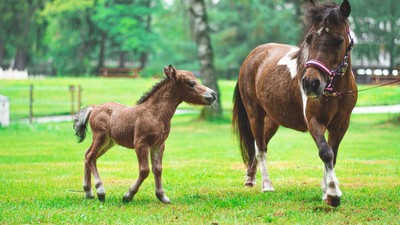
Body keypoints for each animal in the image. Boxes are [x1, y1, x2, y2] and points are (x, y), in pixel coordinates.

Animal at [72, 65, 216, 204]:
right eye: (191, 83)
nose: (213, 94)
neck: (156, 114)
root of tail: (94, 107)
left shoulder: (159, 145)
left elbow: (157, 169)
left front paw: (162, 196)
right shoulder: (141, 143)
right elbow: (145, 170)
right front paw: (128, 195)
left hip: (109, 142)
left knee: (88, 155)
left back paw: (88, 192)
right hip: (100, 137)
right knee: (90, 156)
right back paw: (100, 191)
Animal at [231, 0, 356, 207]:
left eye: (338, 40)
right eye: (309, 39)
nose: (310, 83)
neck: (335, 92)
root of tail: (253, 56)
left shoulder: (341, 125)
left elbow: (333, 154)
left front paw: (325, 192)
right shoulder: (314, 122)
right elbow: (326, 152)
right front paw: (332, 193)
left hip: (272, 120)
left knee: (260, 144)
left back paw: (250, 177)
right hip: (255, 114)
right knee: (261, 148)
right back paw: (267, 185)